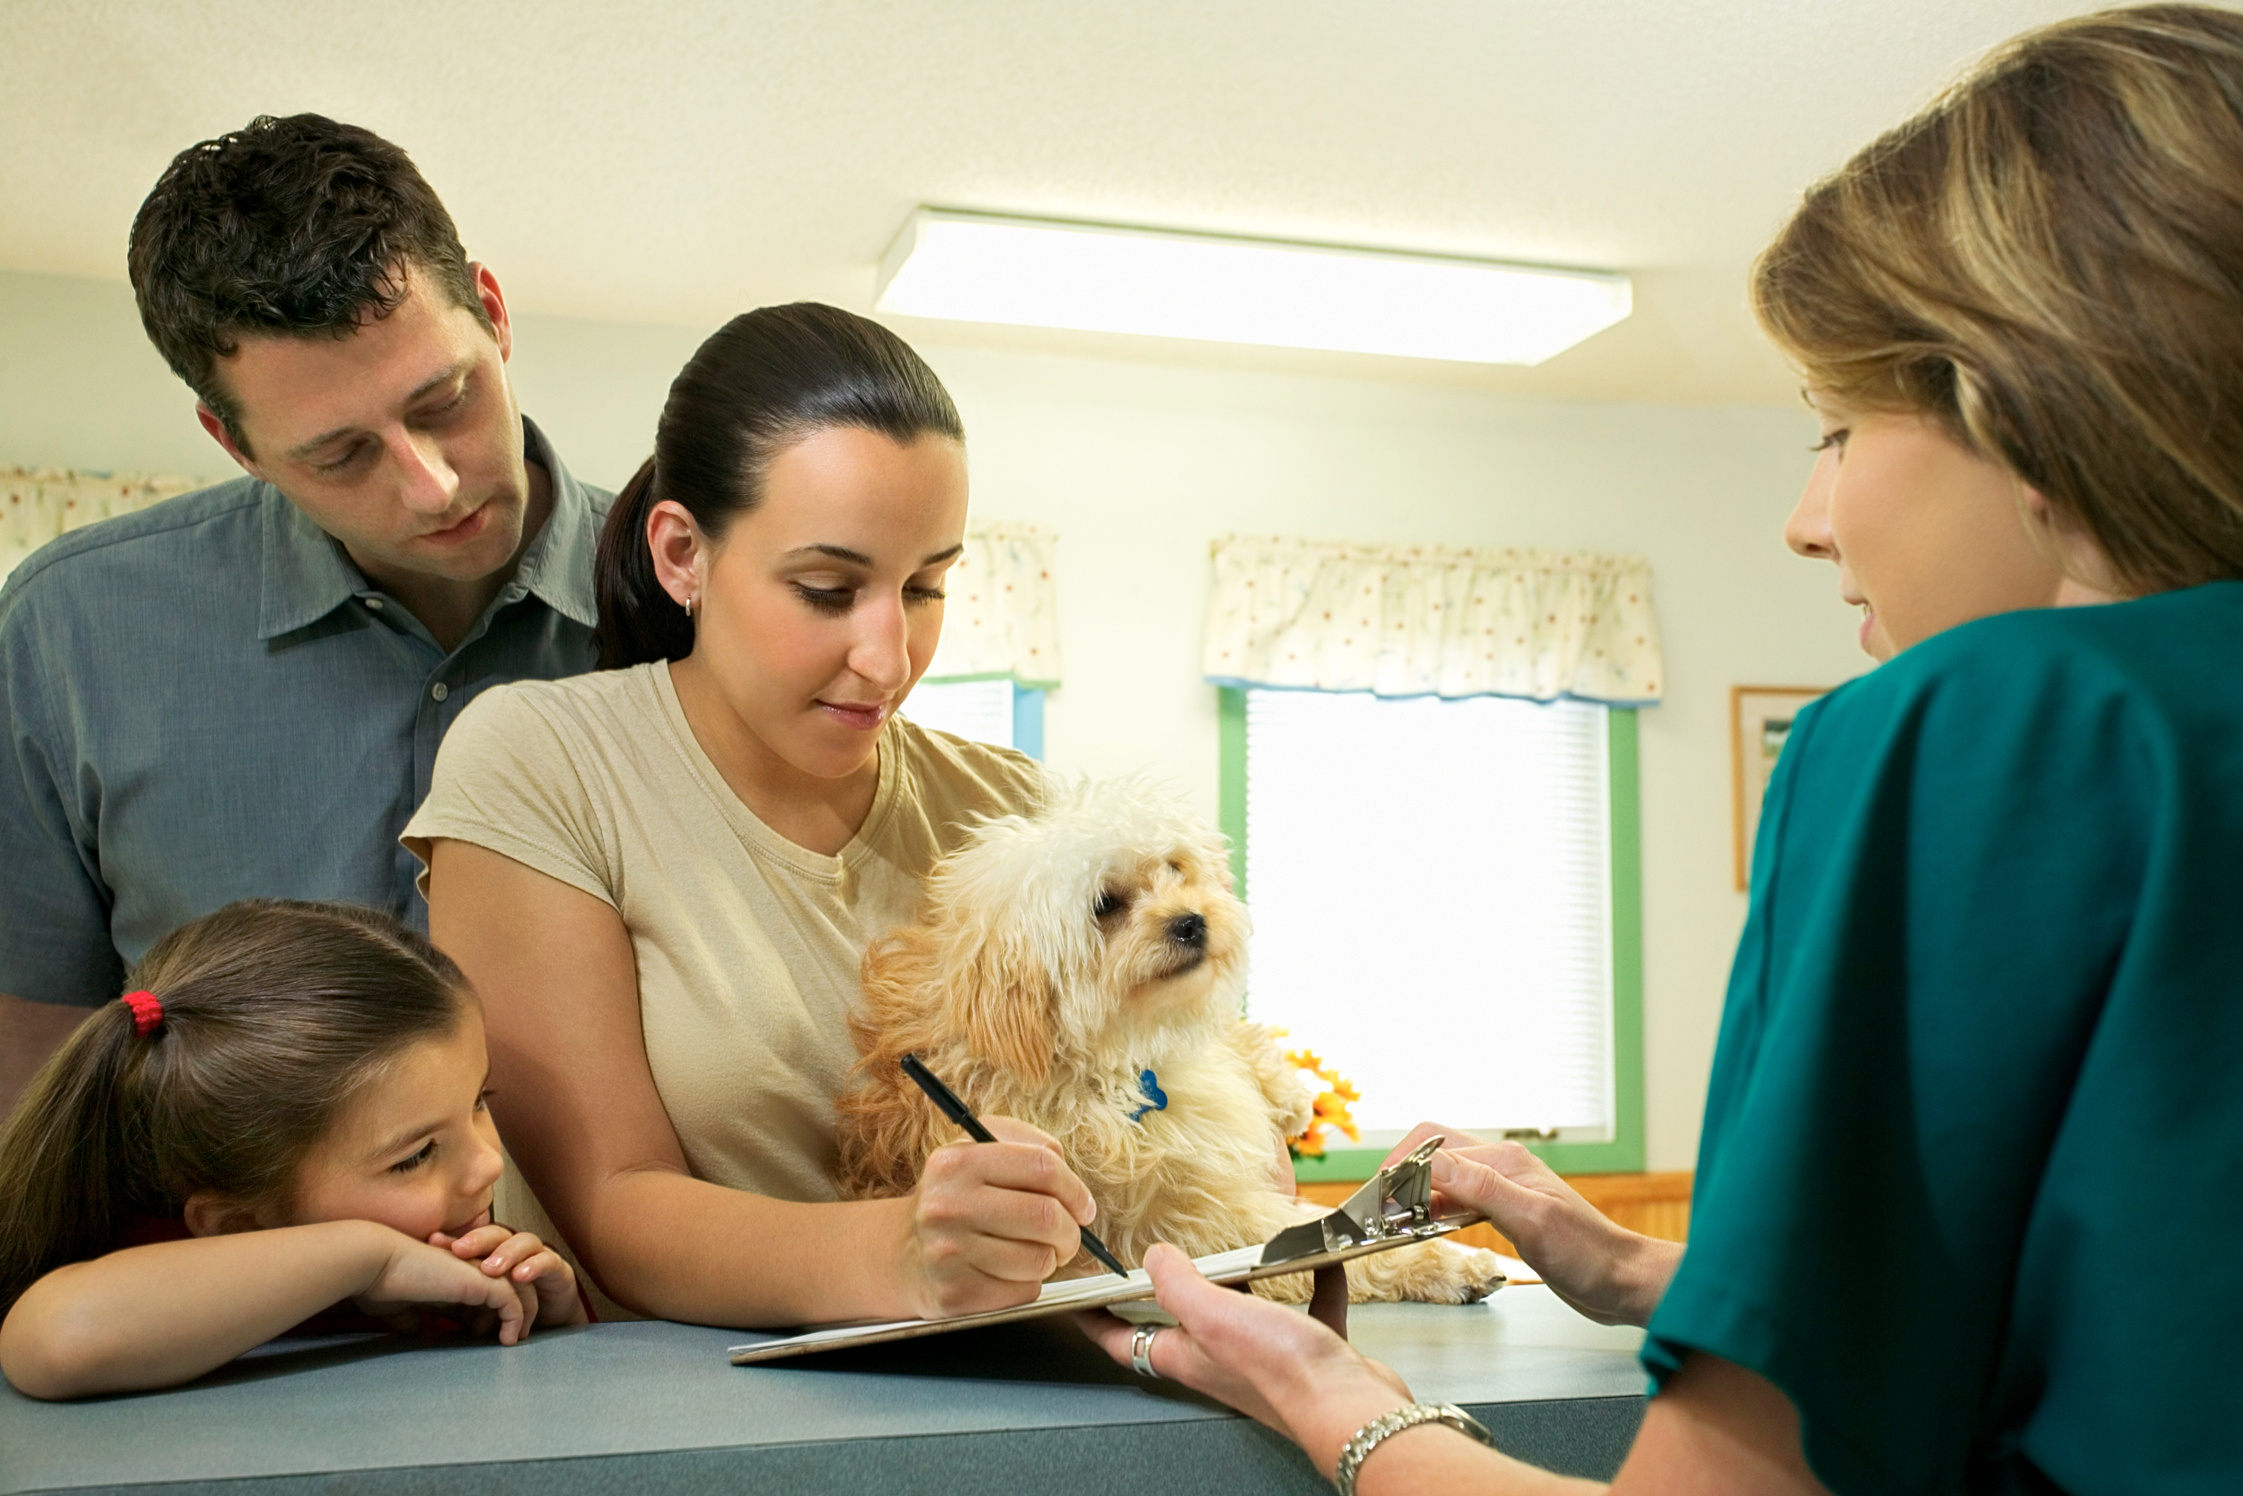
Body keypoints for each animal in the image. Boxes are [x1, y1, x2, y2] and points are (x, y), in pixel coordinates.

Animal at [838, 780, 1507, 1300]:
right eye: (1106, 904)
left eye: (1175, 868)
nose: (1193, 921)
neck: (1114, 1059)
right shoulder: (1189, 1215)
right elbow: (1334, 1238)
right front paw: (1448, 1261)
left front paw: (1285, 1093)